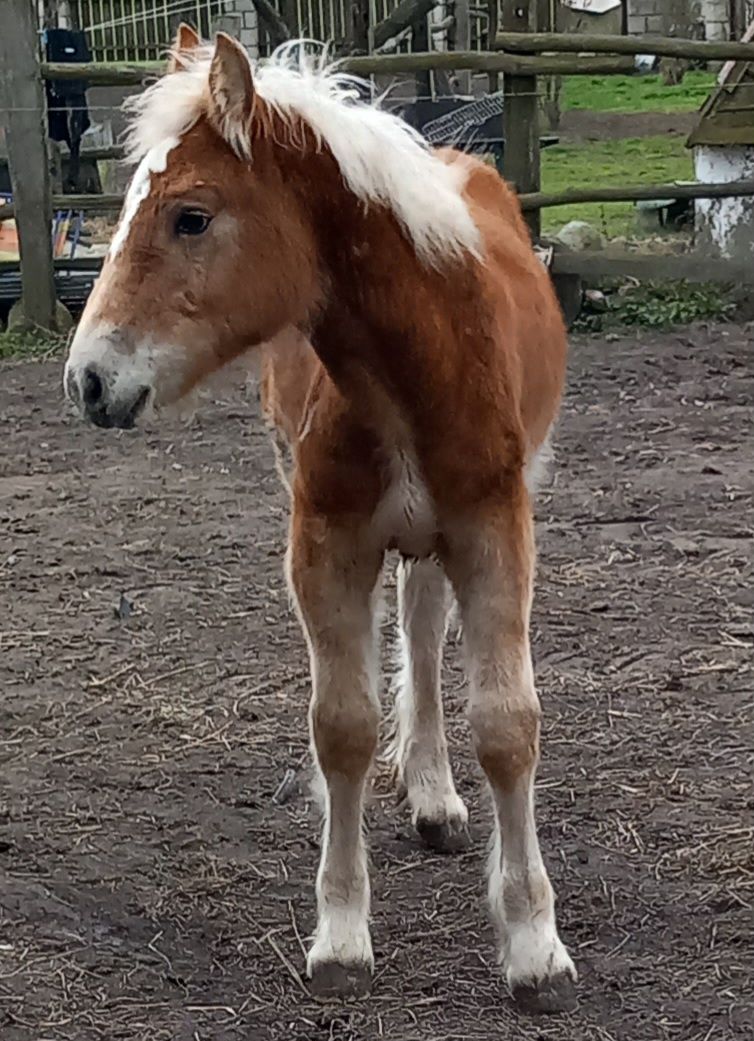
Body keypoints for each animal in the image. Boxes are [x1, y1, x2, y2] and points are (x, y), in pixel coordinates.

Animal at [64, 28, 579, 1011]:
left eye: (191, 216)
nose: (89, 380)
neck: (416, 366)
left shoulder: (496, 531)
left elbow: (508, 726)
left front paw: (535, 945)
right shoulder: (325, 544)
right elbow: (341, 726)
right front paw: (341, 934)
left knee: (424, 626)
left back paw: (437, 797)